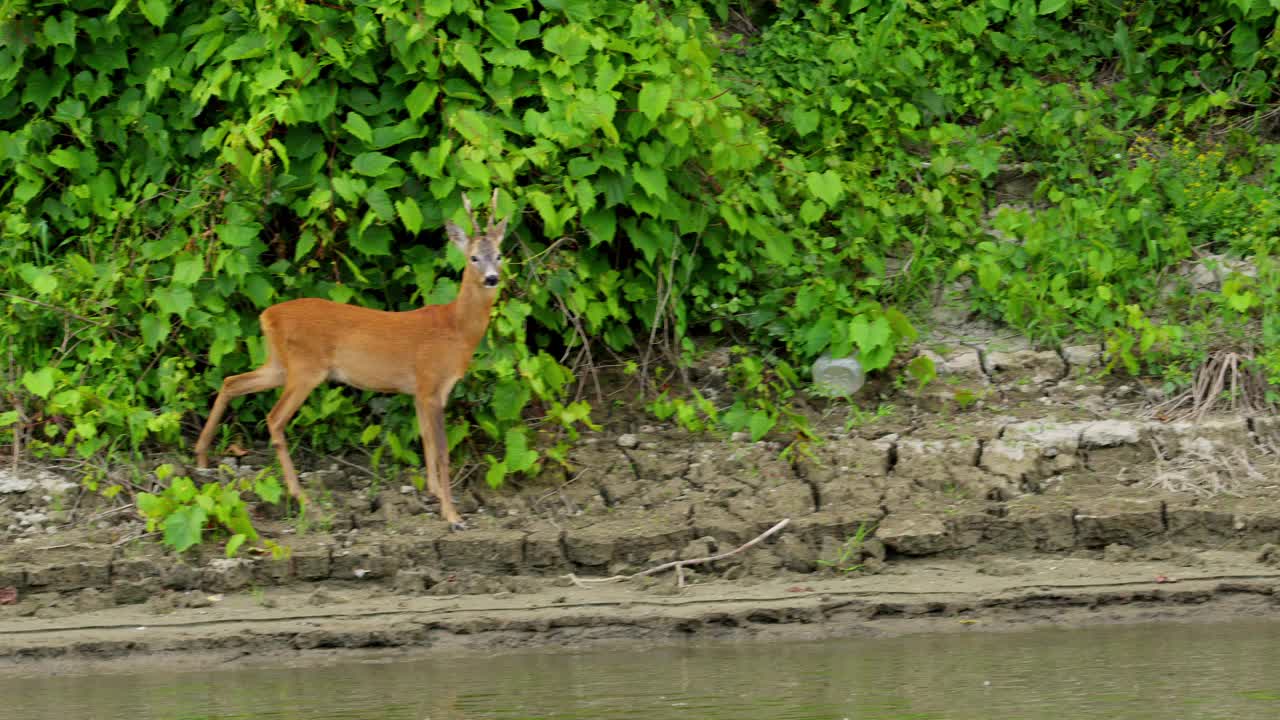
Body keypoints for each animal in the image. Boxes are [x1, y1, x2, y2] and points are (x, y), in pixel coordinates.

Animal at [192, 189, 506, 527]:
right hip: (305, 368)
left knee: (231, 381)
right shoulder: (432, 383)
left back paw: (201, 456)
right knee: (274, 418)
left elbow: (426, 440)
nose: (492, 278)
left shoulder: (420, 391)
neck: (456, 329)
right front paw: (452, 514)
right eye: (473, 257)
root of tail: (267, 316)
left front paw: (434, 493)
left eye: (499, 255)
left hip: (279, 364)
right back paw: (300, 496)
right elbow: (443, 448)